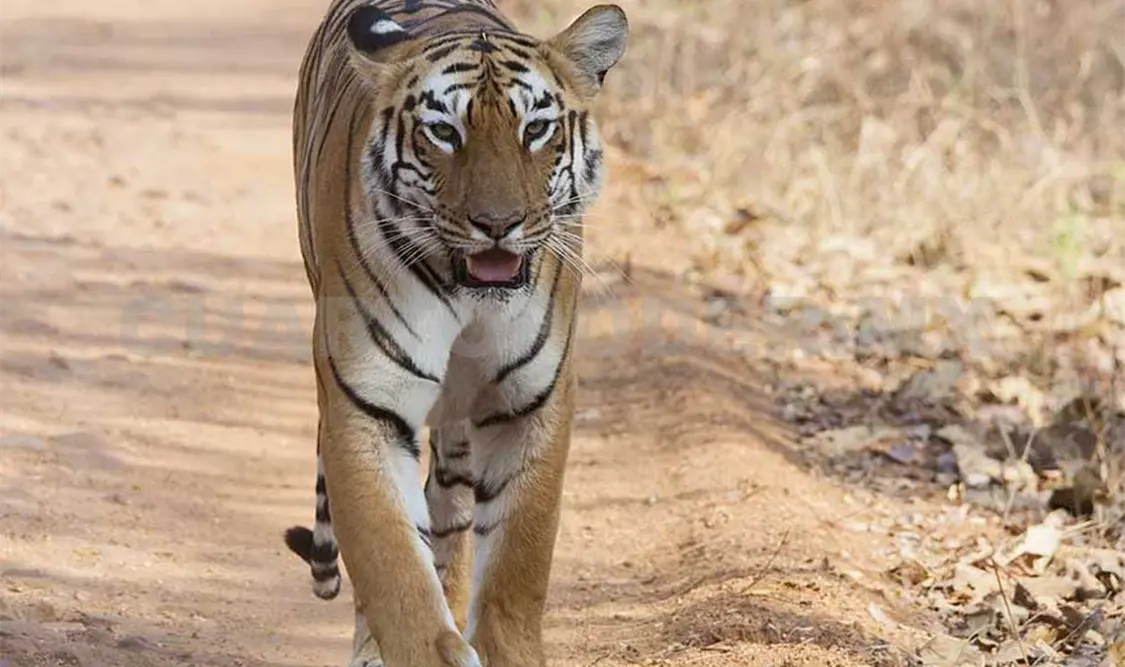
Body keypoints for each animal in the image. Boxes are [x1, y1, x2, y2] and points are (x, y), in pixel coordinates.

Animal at [279, 1, 628, 666]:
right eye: (444, 132)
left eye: (535, 129)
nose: (498, 223)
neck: (471, 299)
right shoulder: (365, 405)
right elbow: (393, 568)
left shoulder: (531, 404)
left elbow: (518, 566)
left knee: (451, 511)